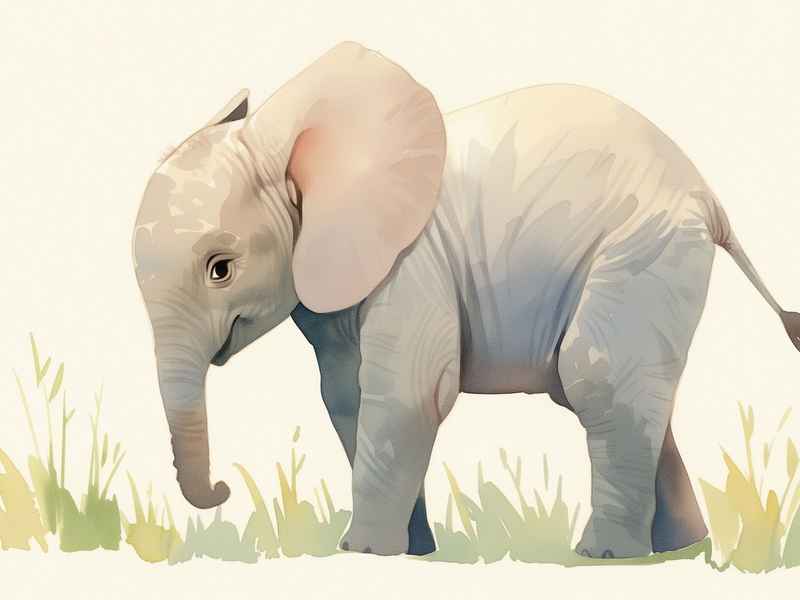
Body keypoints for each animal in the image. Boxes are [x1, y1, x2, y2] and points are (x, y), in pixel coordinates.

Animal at [132, 42, 800, 559]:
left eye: (221, 268)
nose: (221, 490)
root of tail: (709, 197)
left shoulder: (411, 261)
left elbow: (408, 392)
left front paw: (363, 553)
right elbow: (347, 396)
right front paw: (410, 553)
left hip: (644, 250)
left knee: (596, 375)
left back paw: (605, 556)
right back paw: (678, 549)